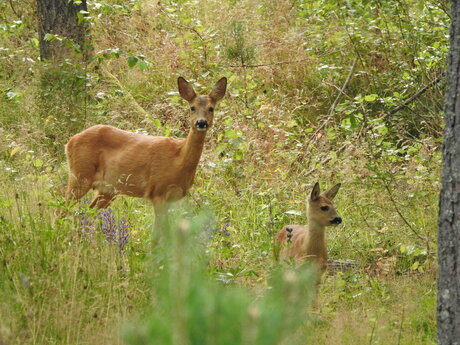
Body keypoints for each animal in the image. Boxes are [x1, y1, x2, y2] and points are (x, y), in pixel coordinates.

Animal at [65, 75, 227, 226]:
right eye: (192, 107)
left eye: (211, 108)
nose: (201, 123)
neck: (178, 158)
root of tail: (70, 141)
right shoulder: (158, 191)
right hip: (80, 175)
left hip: (107, 189)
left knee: (88, 213)